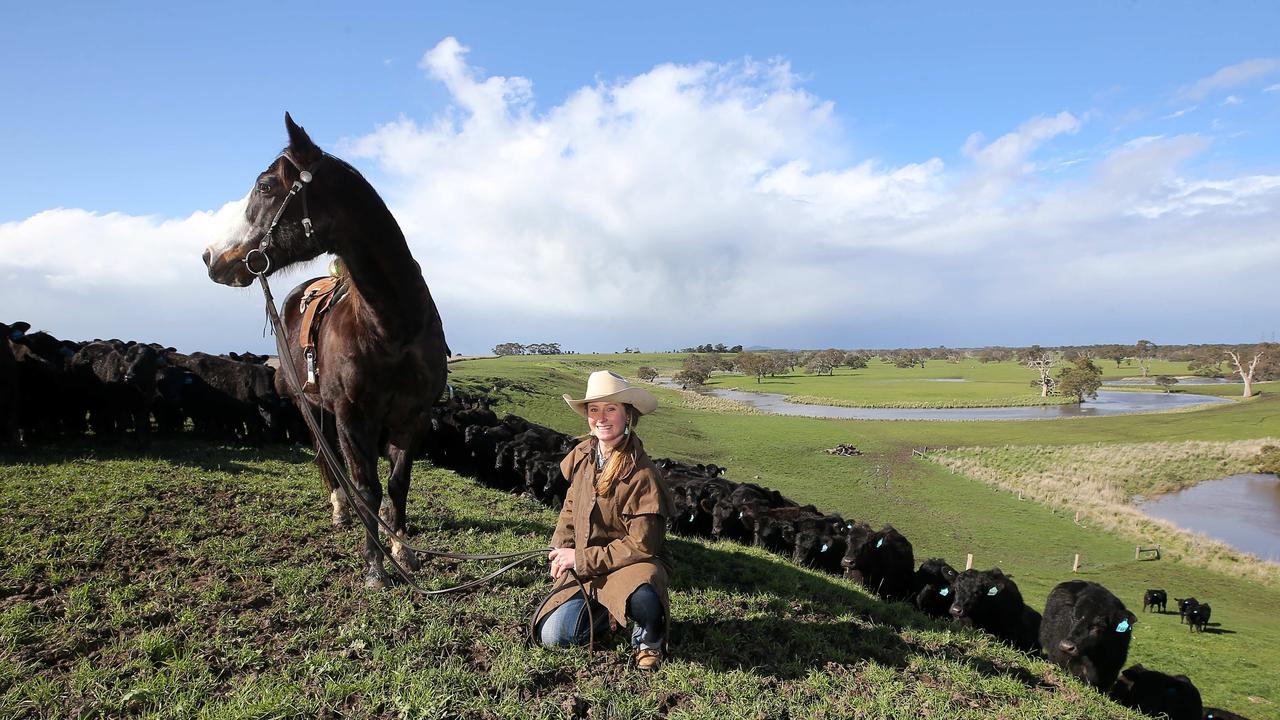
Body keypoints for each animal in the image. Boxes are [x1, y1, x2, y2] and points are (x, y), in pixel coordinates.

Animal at [203, 110, 450, 584]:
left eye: (265, 186)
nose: (211, 256)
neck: (393, 327)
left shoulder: (414, 418)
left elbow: (397, 485)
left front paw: (402, 549)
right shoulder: (352, 417)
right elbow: (367, 486)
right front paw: (375, 565)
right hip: (311, 406)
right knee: (326, 455)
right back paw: (340, 508)